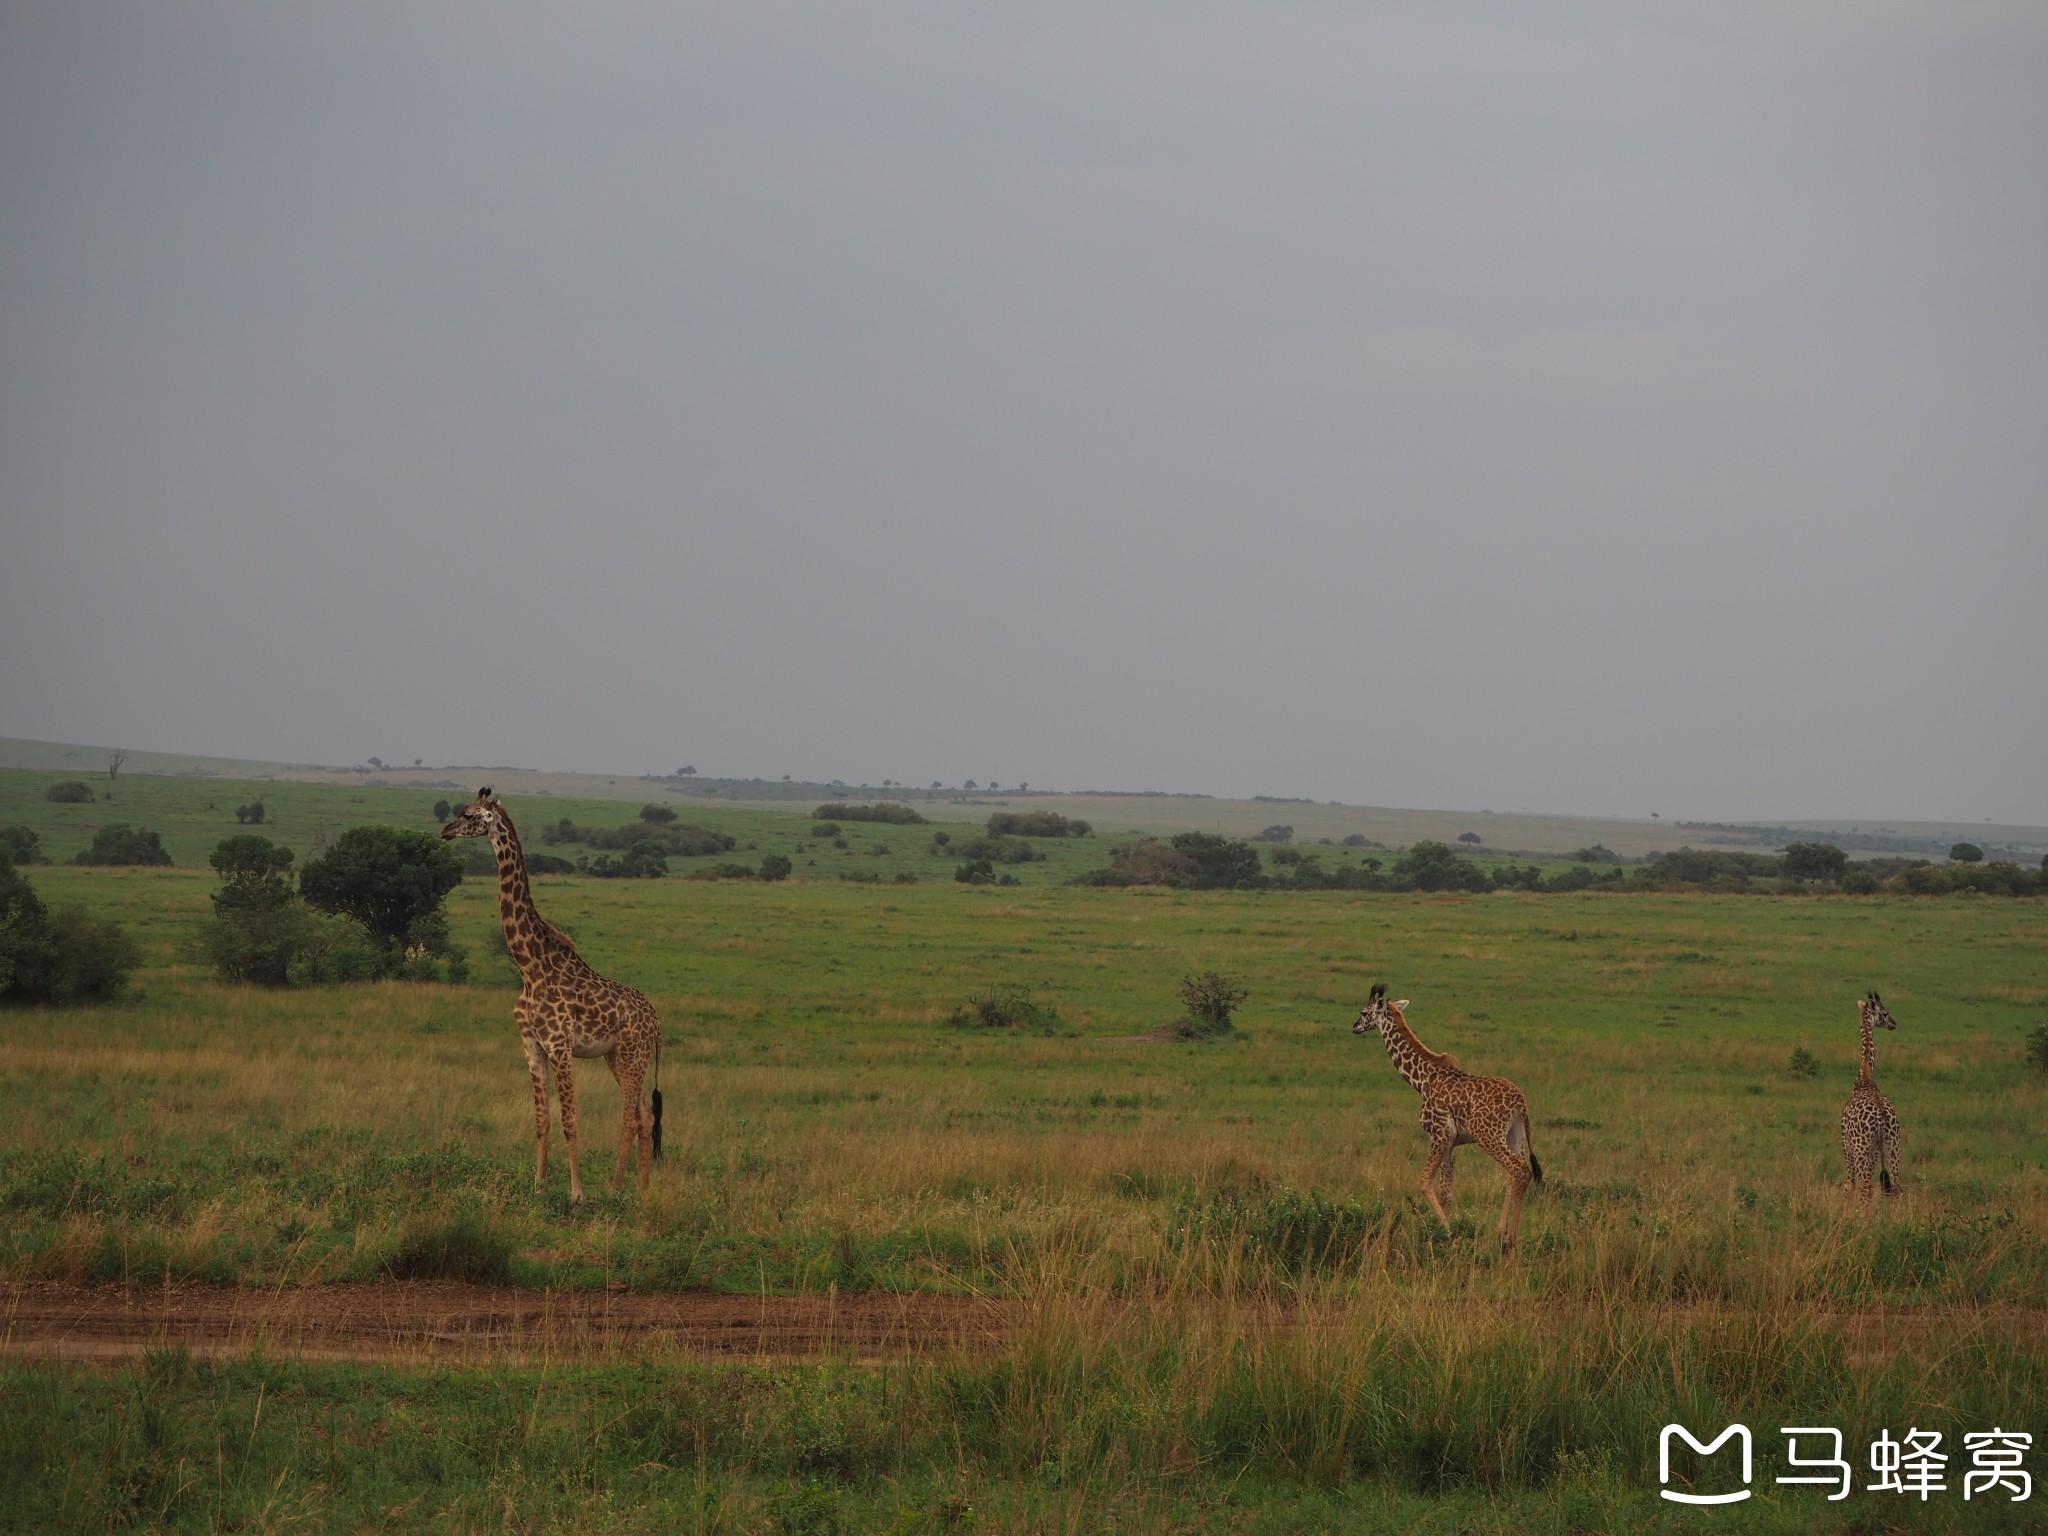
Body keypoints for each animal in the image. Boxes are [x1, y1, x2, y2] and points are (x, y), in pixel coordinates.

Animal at [440, 794, 663, 1204]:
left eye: (468, 814)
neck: (530, 967)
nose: (444, 831)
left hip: (632, 1054)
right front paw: (539, 1185)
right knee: (645, 1114)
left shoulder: (559, 1044)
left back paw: (613, 1187)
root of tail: (657, 1021)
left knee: (629, 1116)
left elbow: (569, 1120)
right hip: (615, 1056)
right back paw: (642, 1189)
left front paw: (576, 1194)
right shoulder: (531, 1044)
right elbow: (541, 1119)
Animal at [1351, 987, 1540, 1253]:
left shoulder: (1440, 1133)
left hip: (1488, 1135)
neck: (1422, 1079)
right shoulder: (1452, 1142)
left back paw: (1501, 1233)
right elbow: (1446, 1193)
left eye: (1363, 1012)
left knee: (1516, 1168)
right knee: (1524, 1171)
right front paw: (1446, 1234)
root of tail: (1520, 1102)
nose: (1355, 1027)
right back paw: (1511, 1239)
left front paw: (1447, 1234)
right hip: (1516, 1135)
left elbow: (1423, 1181)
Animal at [1843, 991, 1900, 1212]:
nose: (1894, 1024)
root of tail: (1883, 1116)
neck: (1865, 1077)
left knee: (1864, 1186)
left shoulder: (1847, 1146)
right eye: (1885, 1013)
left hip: (1863, 1148)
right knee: (1897, 1186)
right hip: (1892, 1145)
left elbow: (1848, 1185)